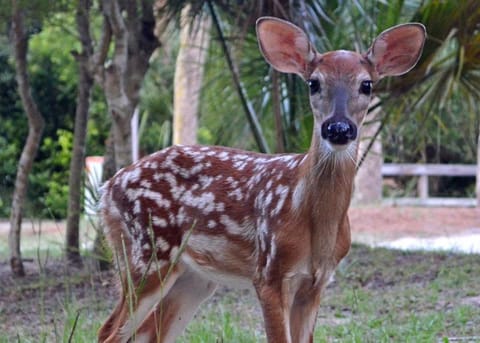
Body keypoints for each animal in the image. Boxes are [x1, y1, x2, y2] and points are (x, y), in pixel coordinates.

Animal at [98, 16, 424, 343]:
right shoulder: (269, 272)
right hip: (149, 251)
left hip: (193, 277)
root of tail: (107, 189)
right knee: (109, 331)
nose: (338, 128)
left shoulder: (317, 282)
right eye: (314, 83)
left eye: (366, 84)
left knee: (146, 334)